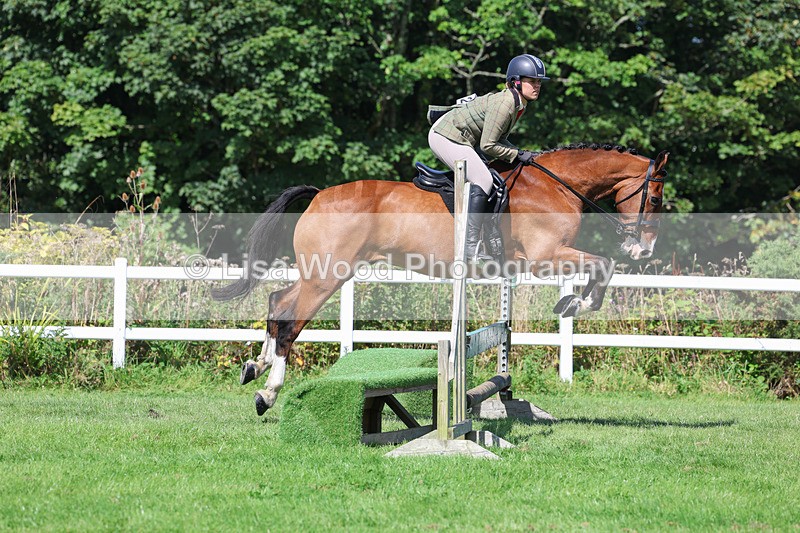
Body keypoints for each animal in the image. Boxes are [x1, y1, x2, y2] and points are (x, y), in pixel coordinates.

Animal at [212, 143, 668, 415]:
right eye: (656, 196)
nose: (645, 251)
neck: (557, 188)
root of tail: (321, 194)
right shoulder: (544, 259)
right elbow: (603, 264)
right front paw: (574, 303)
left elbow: (602, 265)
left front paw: (573, 302)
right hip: (326, 276)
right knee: (291, 320)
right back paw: (268, 393)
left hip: (321, 273)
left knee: (277, 301)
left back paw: (255, 366)